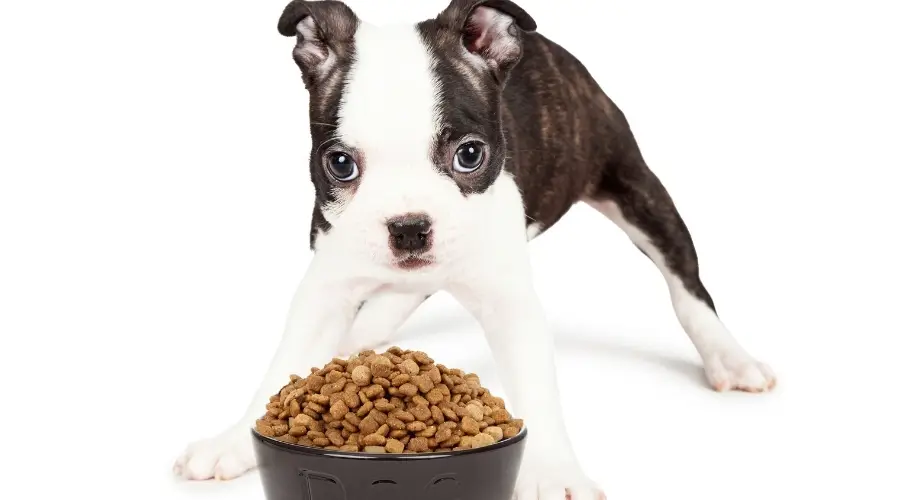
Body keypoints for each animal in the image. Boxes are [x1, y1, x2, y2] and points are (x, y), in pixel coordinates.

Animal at [172, 1, 776, 498]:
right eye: (339, 163)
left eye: (469, 155)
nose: (409, 227)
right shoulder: (327, 286)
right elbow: (284, 365)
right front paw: (233, 440)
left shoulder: (510, 303)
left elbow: (535, 384)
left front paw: (553, 472)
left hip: (633, 185)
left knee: (686, 285)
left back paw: (730, 357)